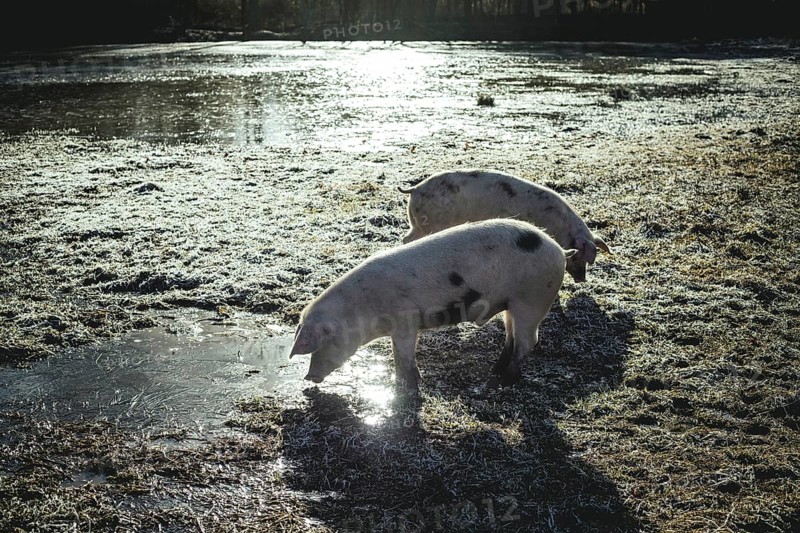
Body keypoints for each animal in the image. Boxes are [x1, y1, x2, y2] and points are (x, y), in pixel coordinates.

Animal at [289, 219, 576, 392]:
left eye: (325, 342)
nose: (308, 377)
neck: (361, 310)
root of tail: (560, 251)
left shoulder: (405, 320)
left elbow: (403, 355)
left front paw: (408, 387)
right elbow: (399, 354)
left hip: (533, 299)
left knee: (529, 341)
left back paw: (507, 379)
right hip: (512, 304)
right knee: (512, 335)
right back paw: (496, 369)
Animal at [399, 170, 610, 283]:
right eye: (579, 255)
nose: (582, 279)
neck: (561, 229)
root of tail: (415, 189)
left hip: (416, 224)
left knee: (405, 238)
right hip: (430, 224)